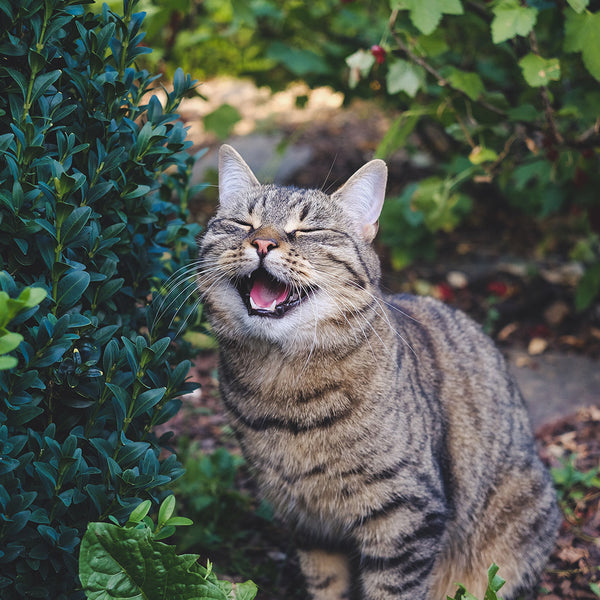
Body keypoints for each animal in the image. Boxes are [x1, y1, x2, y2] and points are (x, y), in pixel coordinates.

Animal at [197, 145, 564, 600]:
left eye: (310, 229)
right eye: (242, 224)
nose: (263, 241)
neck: (280, 384)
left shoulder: (405, 516)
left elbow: (393, 590)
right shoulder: (308, 521)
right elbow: (326, 584)